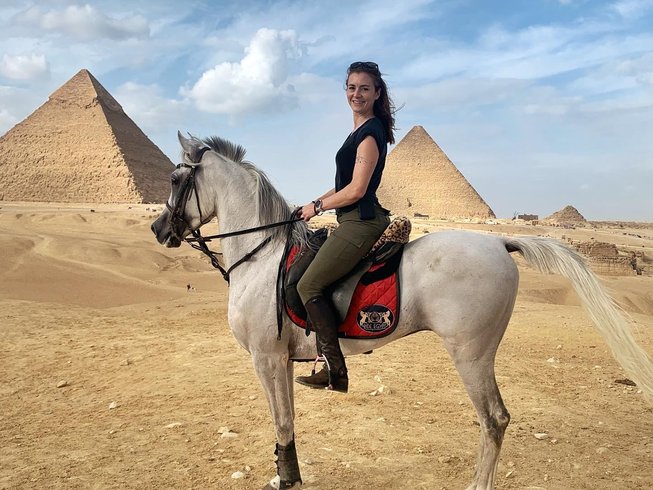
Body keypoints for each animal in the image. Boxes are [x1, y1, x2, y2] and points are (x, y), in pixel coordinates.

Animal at [150, 132, 648, 488]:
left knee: (495, 419)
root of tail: (500, 243)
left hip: (471, 353)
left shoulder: (266, 357)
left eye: (175, 180)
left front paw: (287, 478)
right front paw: (287, 473)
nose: (158, 229)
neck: (260, 254)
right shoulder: (283, 359)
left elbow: (282, 419)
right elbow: (286, 419)